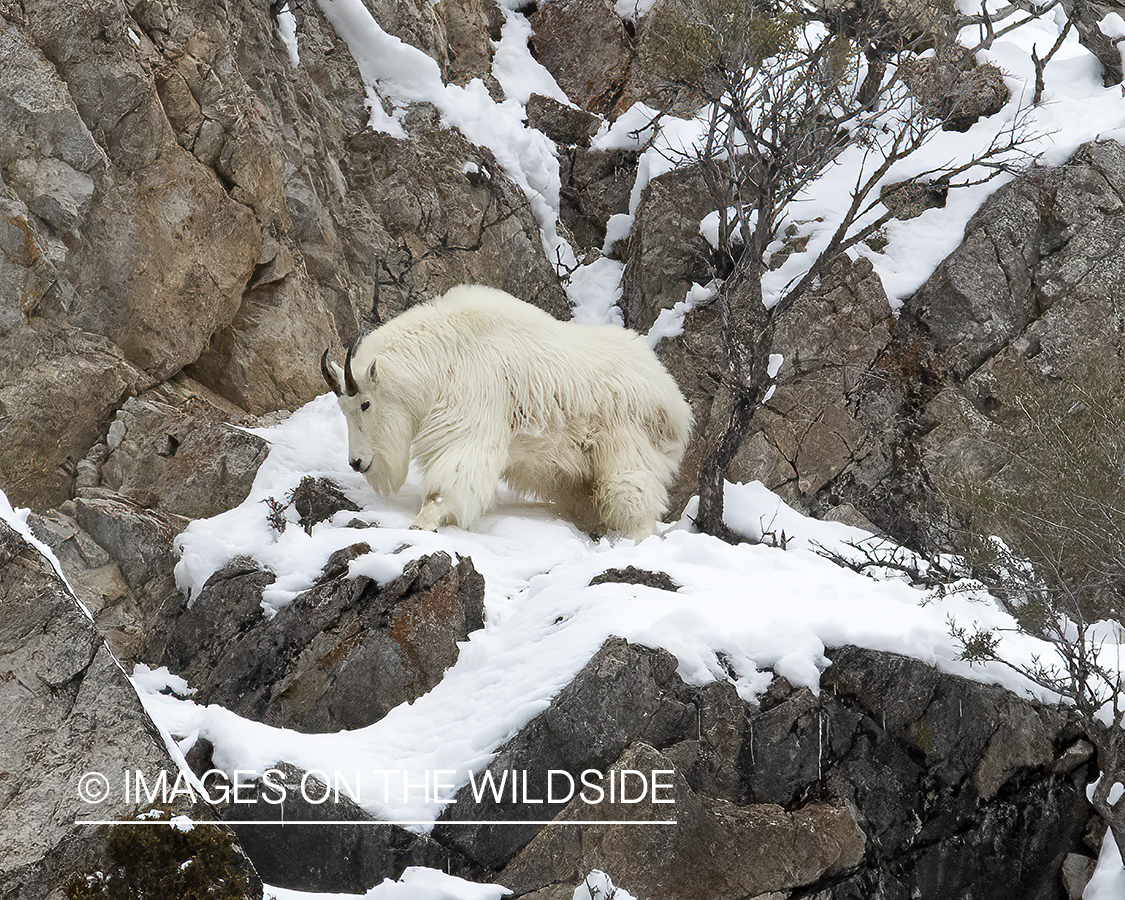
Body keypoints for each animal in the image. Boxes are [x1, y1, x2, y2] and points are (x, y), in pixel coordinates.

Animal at [319, 284, 693, 537]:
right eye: (343, 408)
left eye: (366, 403)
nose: (358, 462)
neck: (442, 358)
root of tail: (674, 405)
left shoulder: (469, 427)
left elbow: (447, 484)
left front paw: (421, 525)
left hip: (626, 451)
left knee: (636, 502)